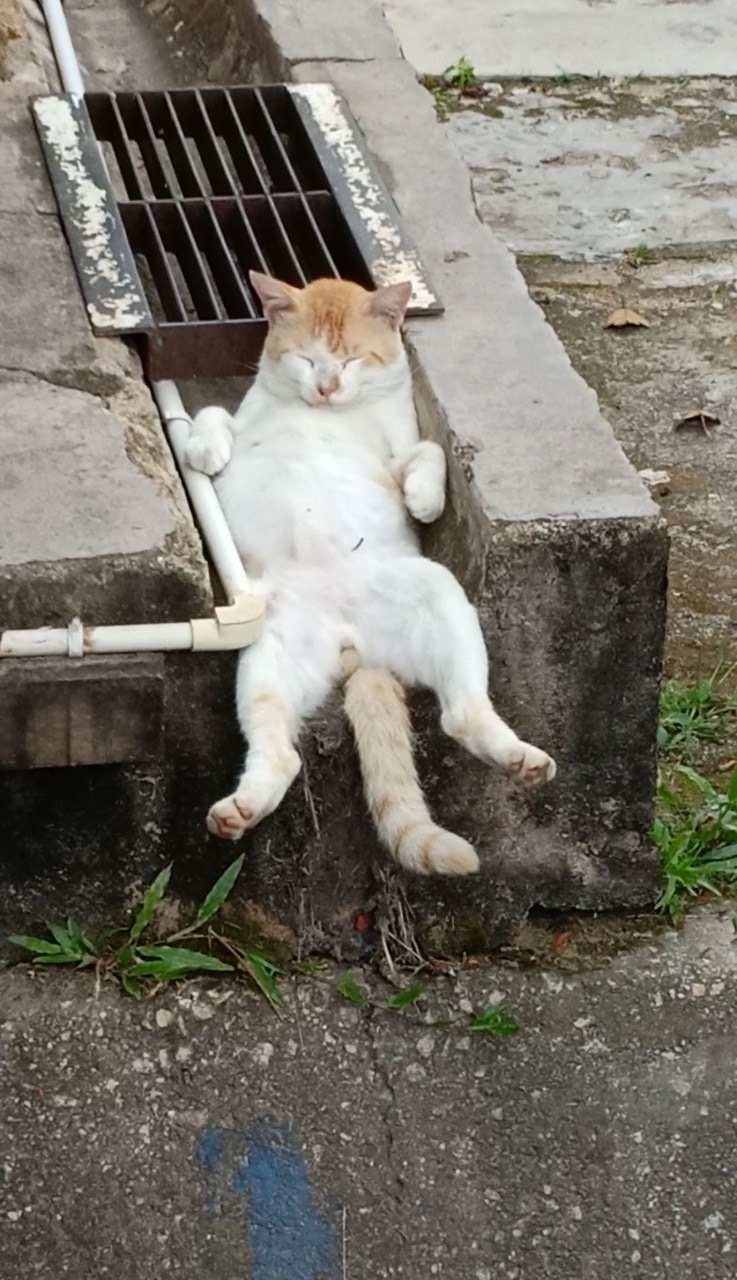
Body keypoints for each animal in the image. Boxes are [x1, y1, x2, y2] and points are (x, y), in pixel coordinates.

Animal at [185, 267, 557, 870]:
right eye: (308, 359)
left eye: (354, 359)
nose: (327, 387)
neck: (325, 413)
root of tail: (355, 648)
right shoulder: (242, 419)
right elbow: (211, 414)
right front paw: (205, 449)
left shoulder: (397, 453)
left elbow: (430, 451)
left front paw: (426, 500)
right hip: (268, 660)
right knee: (281, 754)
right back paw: (240, 810)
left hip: (436, 590)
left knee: (463, 713)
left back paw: (518, 758)